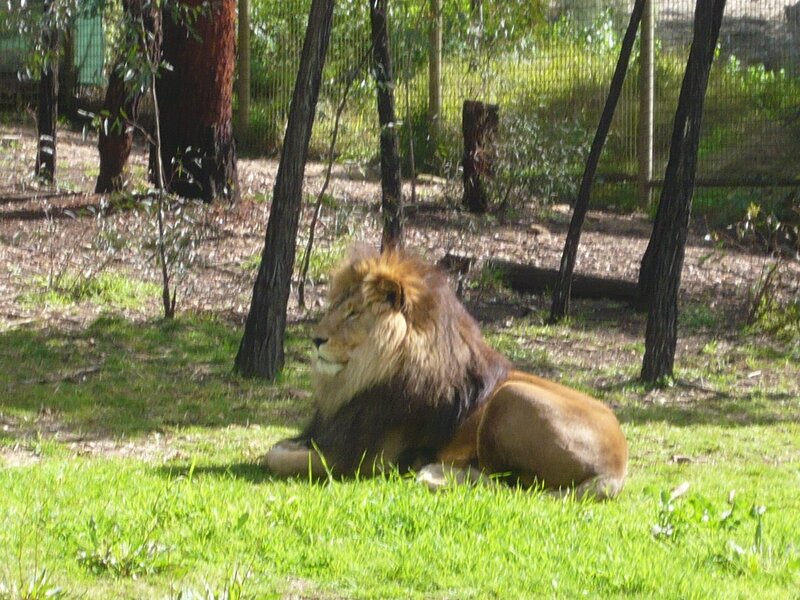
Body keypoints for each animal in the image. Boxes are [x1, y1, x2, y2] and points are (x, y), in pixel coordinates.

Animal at [264, 248, 628, 499]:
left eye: (353, 314)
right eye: (334, 308)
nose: (315, 339)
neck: (356, 381)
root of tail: (617, 468)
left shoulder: (363, 460)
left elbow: (277, 459)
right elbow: (282, 446)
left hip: (512, 397)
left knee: (509, 482)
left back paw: (435, 474)